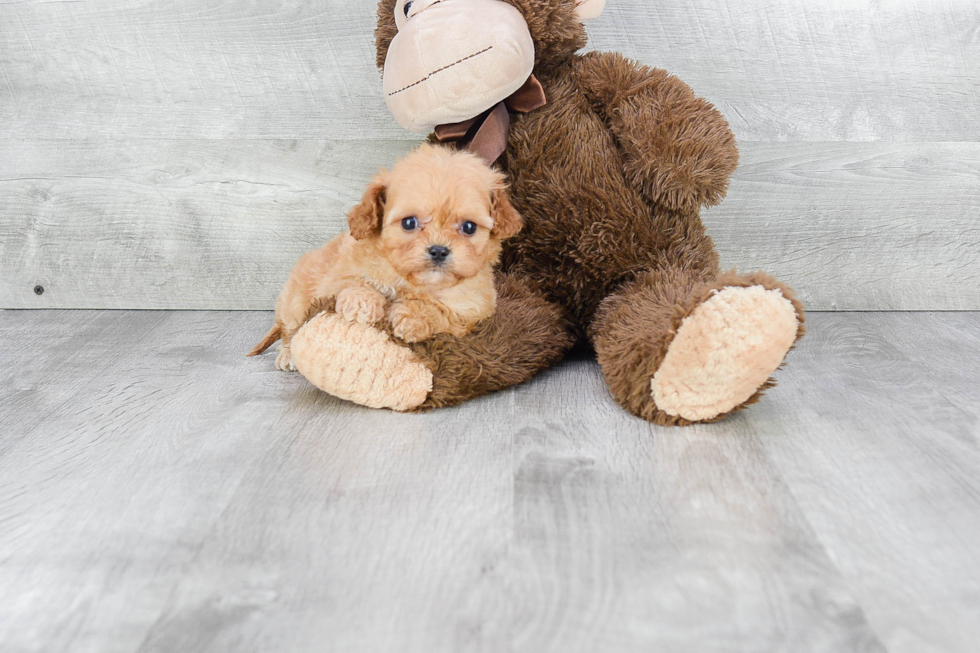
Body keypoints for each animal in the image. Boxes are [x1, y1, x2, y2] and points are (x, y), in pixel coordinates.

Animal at [249, 143, 524, 372]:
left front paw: (413, 318)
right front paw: (361, 303)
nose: (438, 250)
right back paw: (287, 355)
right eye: (409, 223)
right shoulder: (334, 278)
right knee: (289, 330)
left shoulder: (473, 308)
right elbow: (351, 281)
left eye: (468, 227)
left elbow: (441, 311)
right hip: (294, 299)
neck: (412, 281)